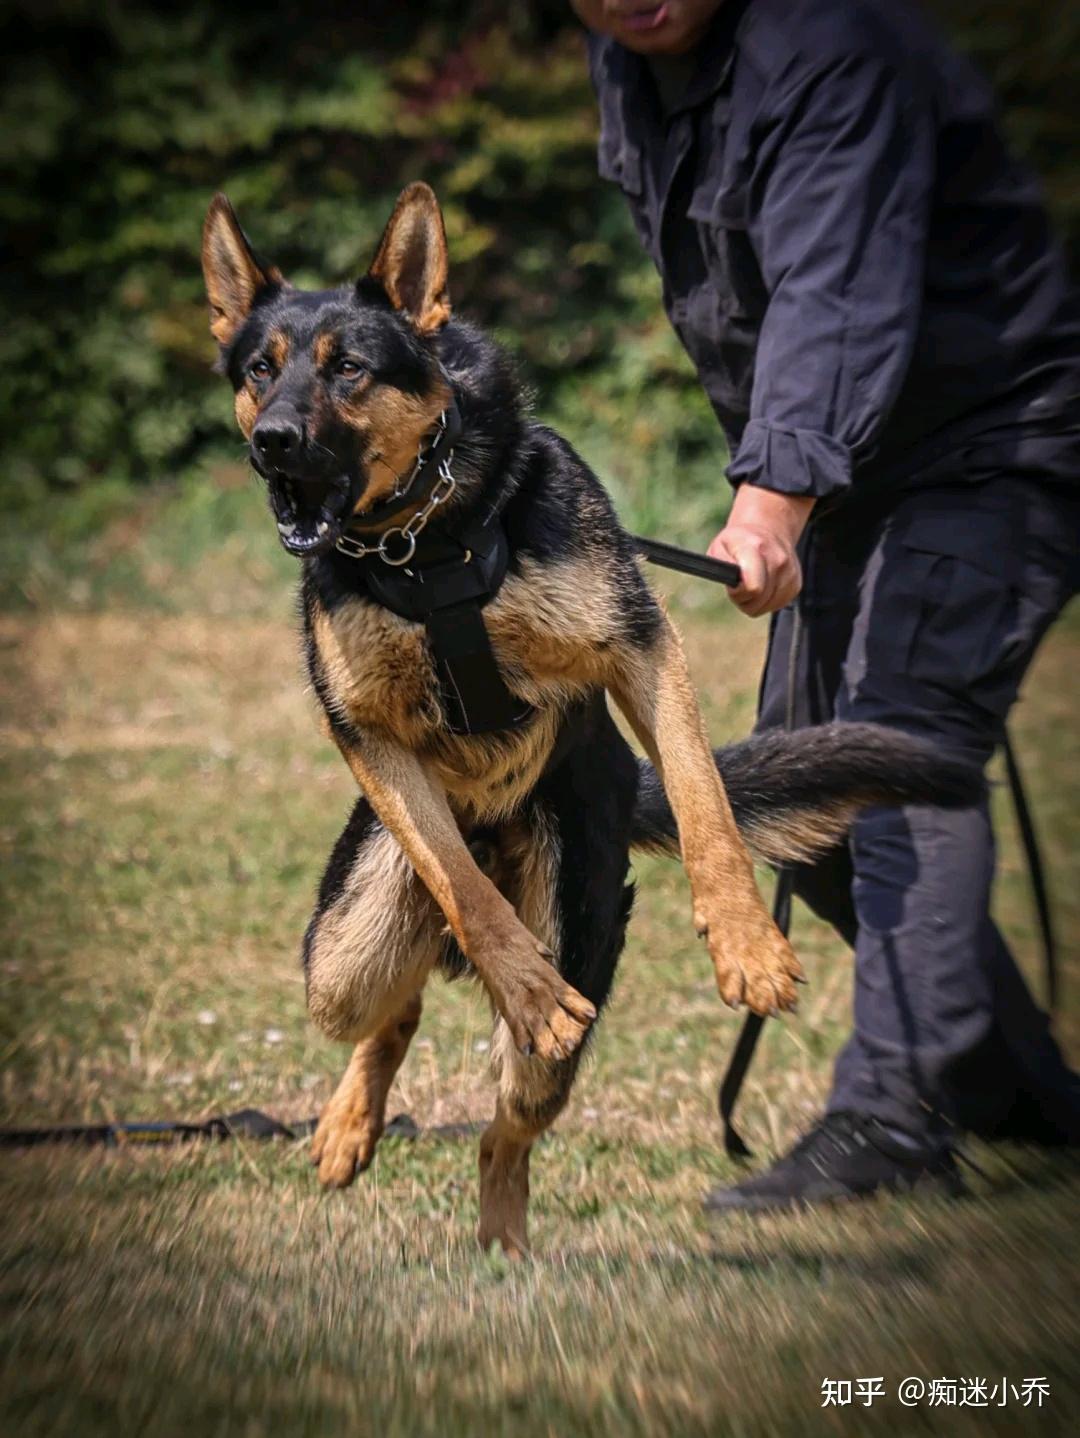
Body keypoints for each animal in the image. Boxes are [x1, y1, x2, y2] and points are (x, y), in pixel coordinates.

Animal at [198, 185, 983, 1253]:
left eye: (348, 368)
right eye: (259, 372)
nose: (271, 442)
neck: (424, 541)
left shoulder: (638, 649)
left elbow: (703, 801)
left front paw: (746, 943)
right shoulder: (368, 737)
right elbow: (464, 891)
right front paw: (526, 985)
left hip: (566, 949)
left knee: (506, 1132)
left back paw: (502, 1250)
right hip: (341, 957)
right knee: (396, 1005)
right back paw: (358, 1123)